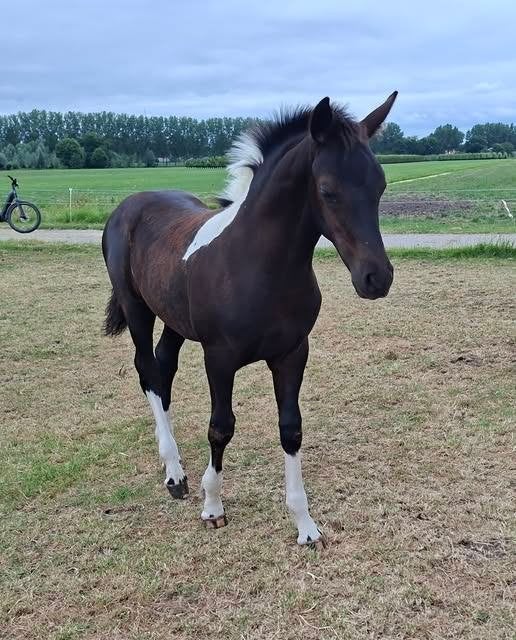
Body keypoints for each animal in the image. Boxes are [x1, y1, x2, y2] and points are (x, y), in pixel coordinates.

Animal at [102, 91, 397, 547]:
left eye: (380, 186)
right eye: (327, 191)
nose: (376, 278)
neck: (258, 265)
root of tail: (129, 205)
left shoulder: (292, 354)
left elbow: (291, 428)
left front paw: (305, 526)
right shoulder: (219, 358)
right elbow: (220, 427)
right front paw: (212, 507)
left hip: (174, 320)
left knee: (163, 369)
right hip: (137, 309)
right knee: (147, 371)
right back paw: (174, 475)